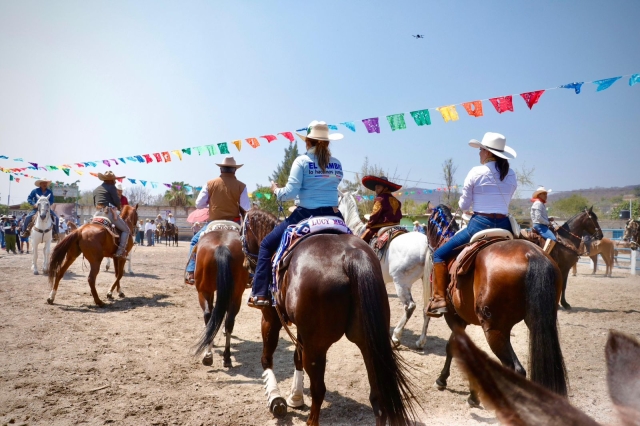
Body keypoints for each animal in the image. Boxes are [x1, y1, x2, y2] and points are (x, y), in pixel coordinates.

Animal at [191, 225, 246, 368]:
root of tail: (222, 246)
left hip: (205, 291)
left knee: (209, 315)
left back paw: (211, 355)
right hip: (234, 293)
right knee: (227, 320)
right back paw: (222, 357)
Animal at [338, 191, 432, 348]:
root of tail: (425, 244)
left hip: (401, 283)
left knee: (410, 306)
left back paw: (396, 337)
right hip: (427, 280)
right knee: (427, 309)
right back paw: (421, 341)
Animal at [428, 206, 568, 402]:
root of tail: (531, 254)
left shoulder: (453, 317)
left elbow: (452, 347)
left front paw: (443, 380)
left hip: (495, 329)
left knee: (515, 368)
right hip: (539, 322)